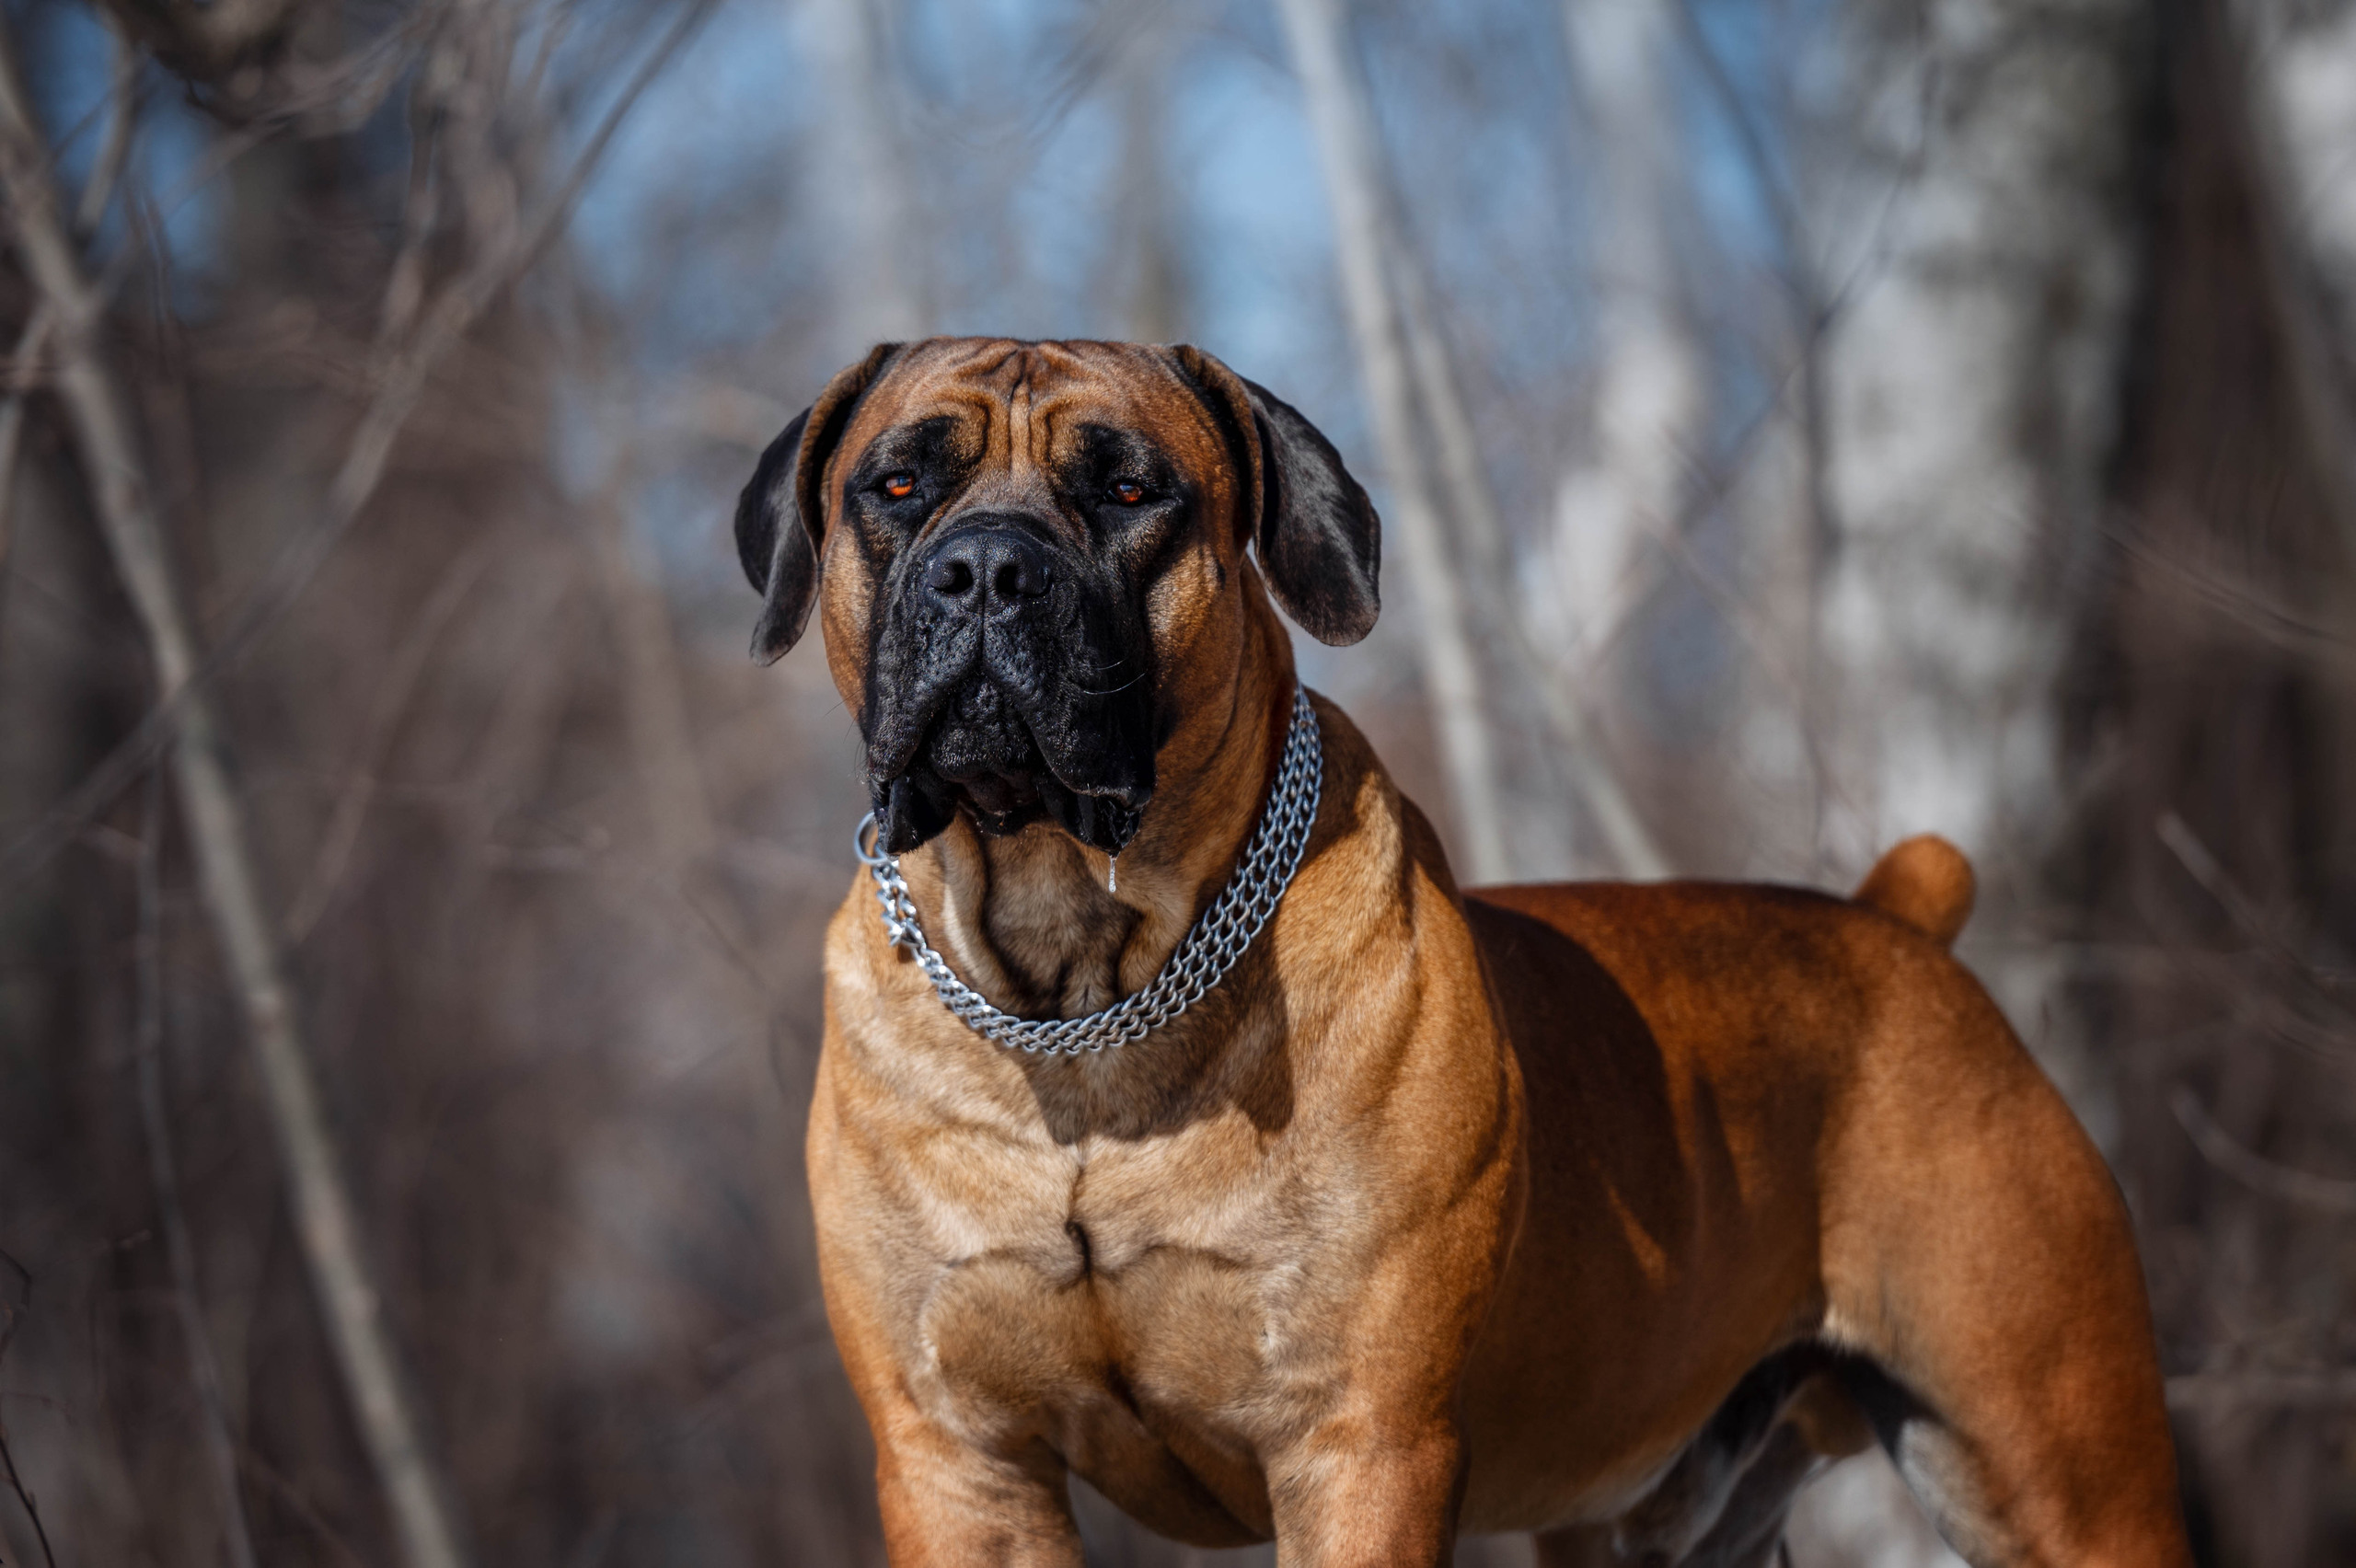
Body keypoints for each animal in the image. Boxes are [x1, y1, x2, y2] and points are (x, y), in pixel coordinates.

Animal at [734, 340, 2186, 1562]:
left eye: (1132, 489)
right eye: (899, 484)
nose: (986, 568)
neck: (1080, 985)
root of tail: (1896, 923)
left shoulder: (1361, 1446)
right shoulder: (961, 1461)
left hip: (2055, 1461)